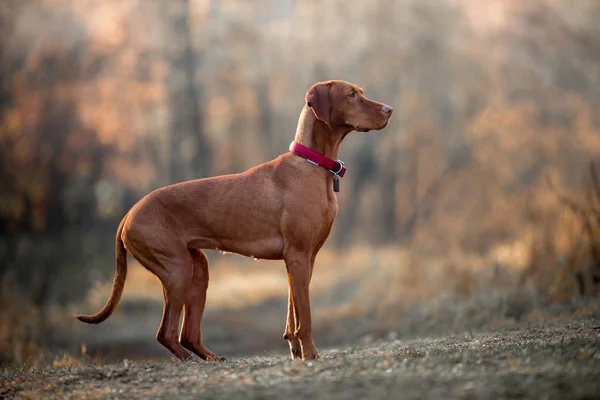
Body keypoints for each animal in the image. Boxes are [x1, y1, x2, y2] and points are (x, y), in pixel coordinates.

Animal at [76, 79, 394, 360]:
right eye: (351, 95)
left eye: (360, 92)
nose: (389, 109)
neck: (312, 164)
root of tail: (128, 214)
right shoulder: (299, 255)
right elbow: (305, 316)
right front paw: (311, 355)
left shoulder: (304, 259)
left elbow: (292, 313)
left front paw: (296, 350)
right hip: (177, 270)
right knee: (165, 334)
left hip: (197, 270)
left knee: (187, 335)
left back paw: (212, 359)